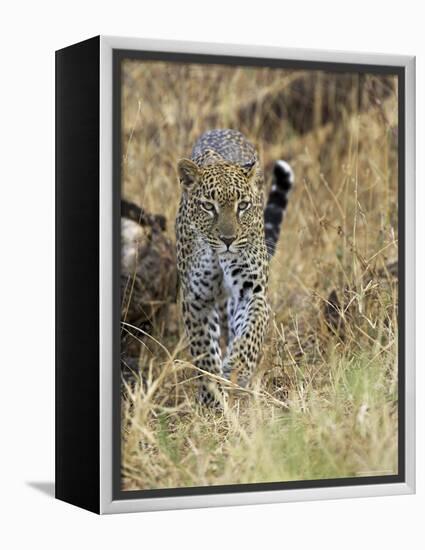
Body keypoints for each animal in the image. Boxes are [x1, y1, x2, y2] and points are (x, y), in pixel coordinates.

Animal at [175, 128, 292, 406]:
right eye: (208, 206)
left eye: (243, 206)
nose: (228, 240)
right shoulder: (196, 299)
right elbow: (205, 350)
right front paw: (212, 397)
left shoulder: (252, 291)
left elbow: (250, 332)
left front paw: (236, 371)